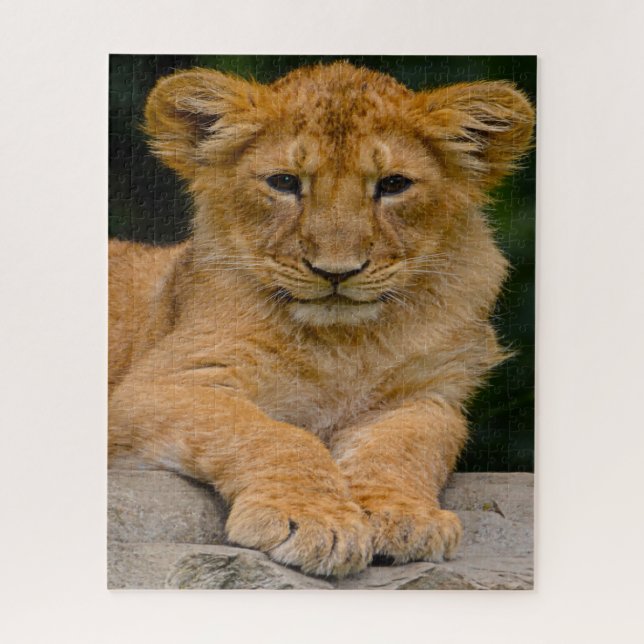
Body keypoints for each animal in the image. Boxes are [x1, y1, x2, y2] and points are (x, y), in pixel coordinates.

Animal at [109, 62, 534, 578]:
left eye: (393, 184)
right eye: (284, 182)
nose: (336, 271)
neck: (345, 344)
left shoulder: (427, 395)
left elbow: (403, 448)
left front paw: (404, 517)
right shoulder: (163, 384)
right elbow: (274, 435)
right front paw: (314, 519)